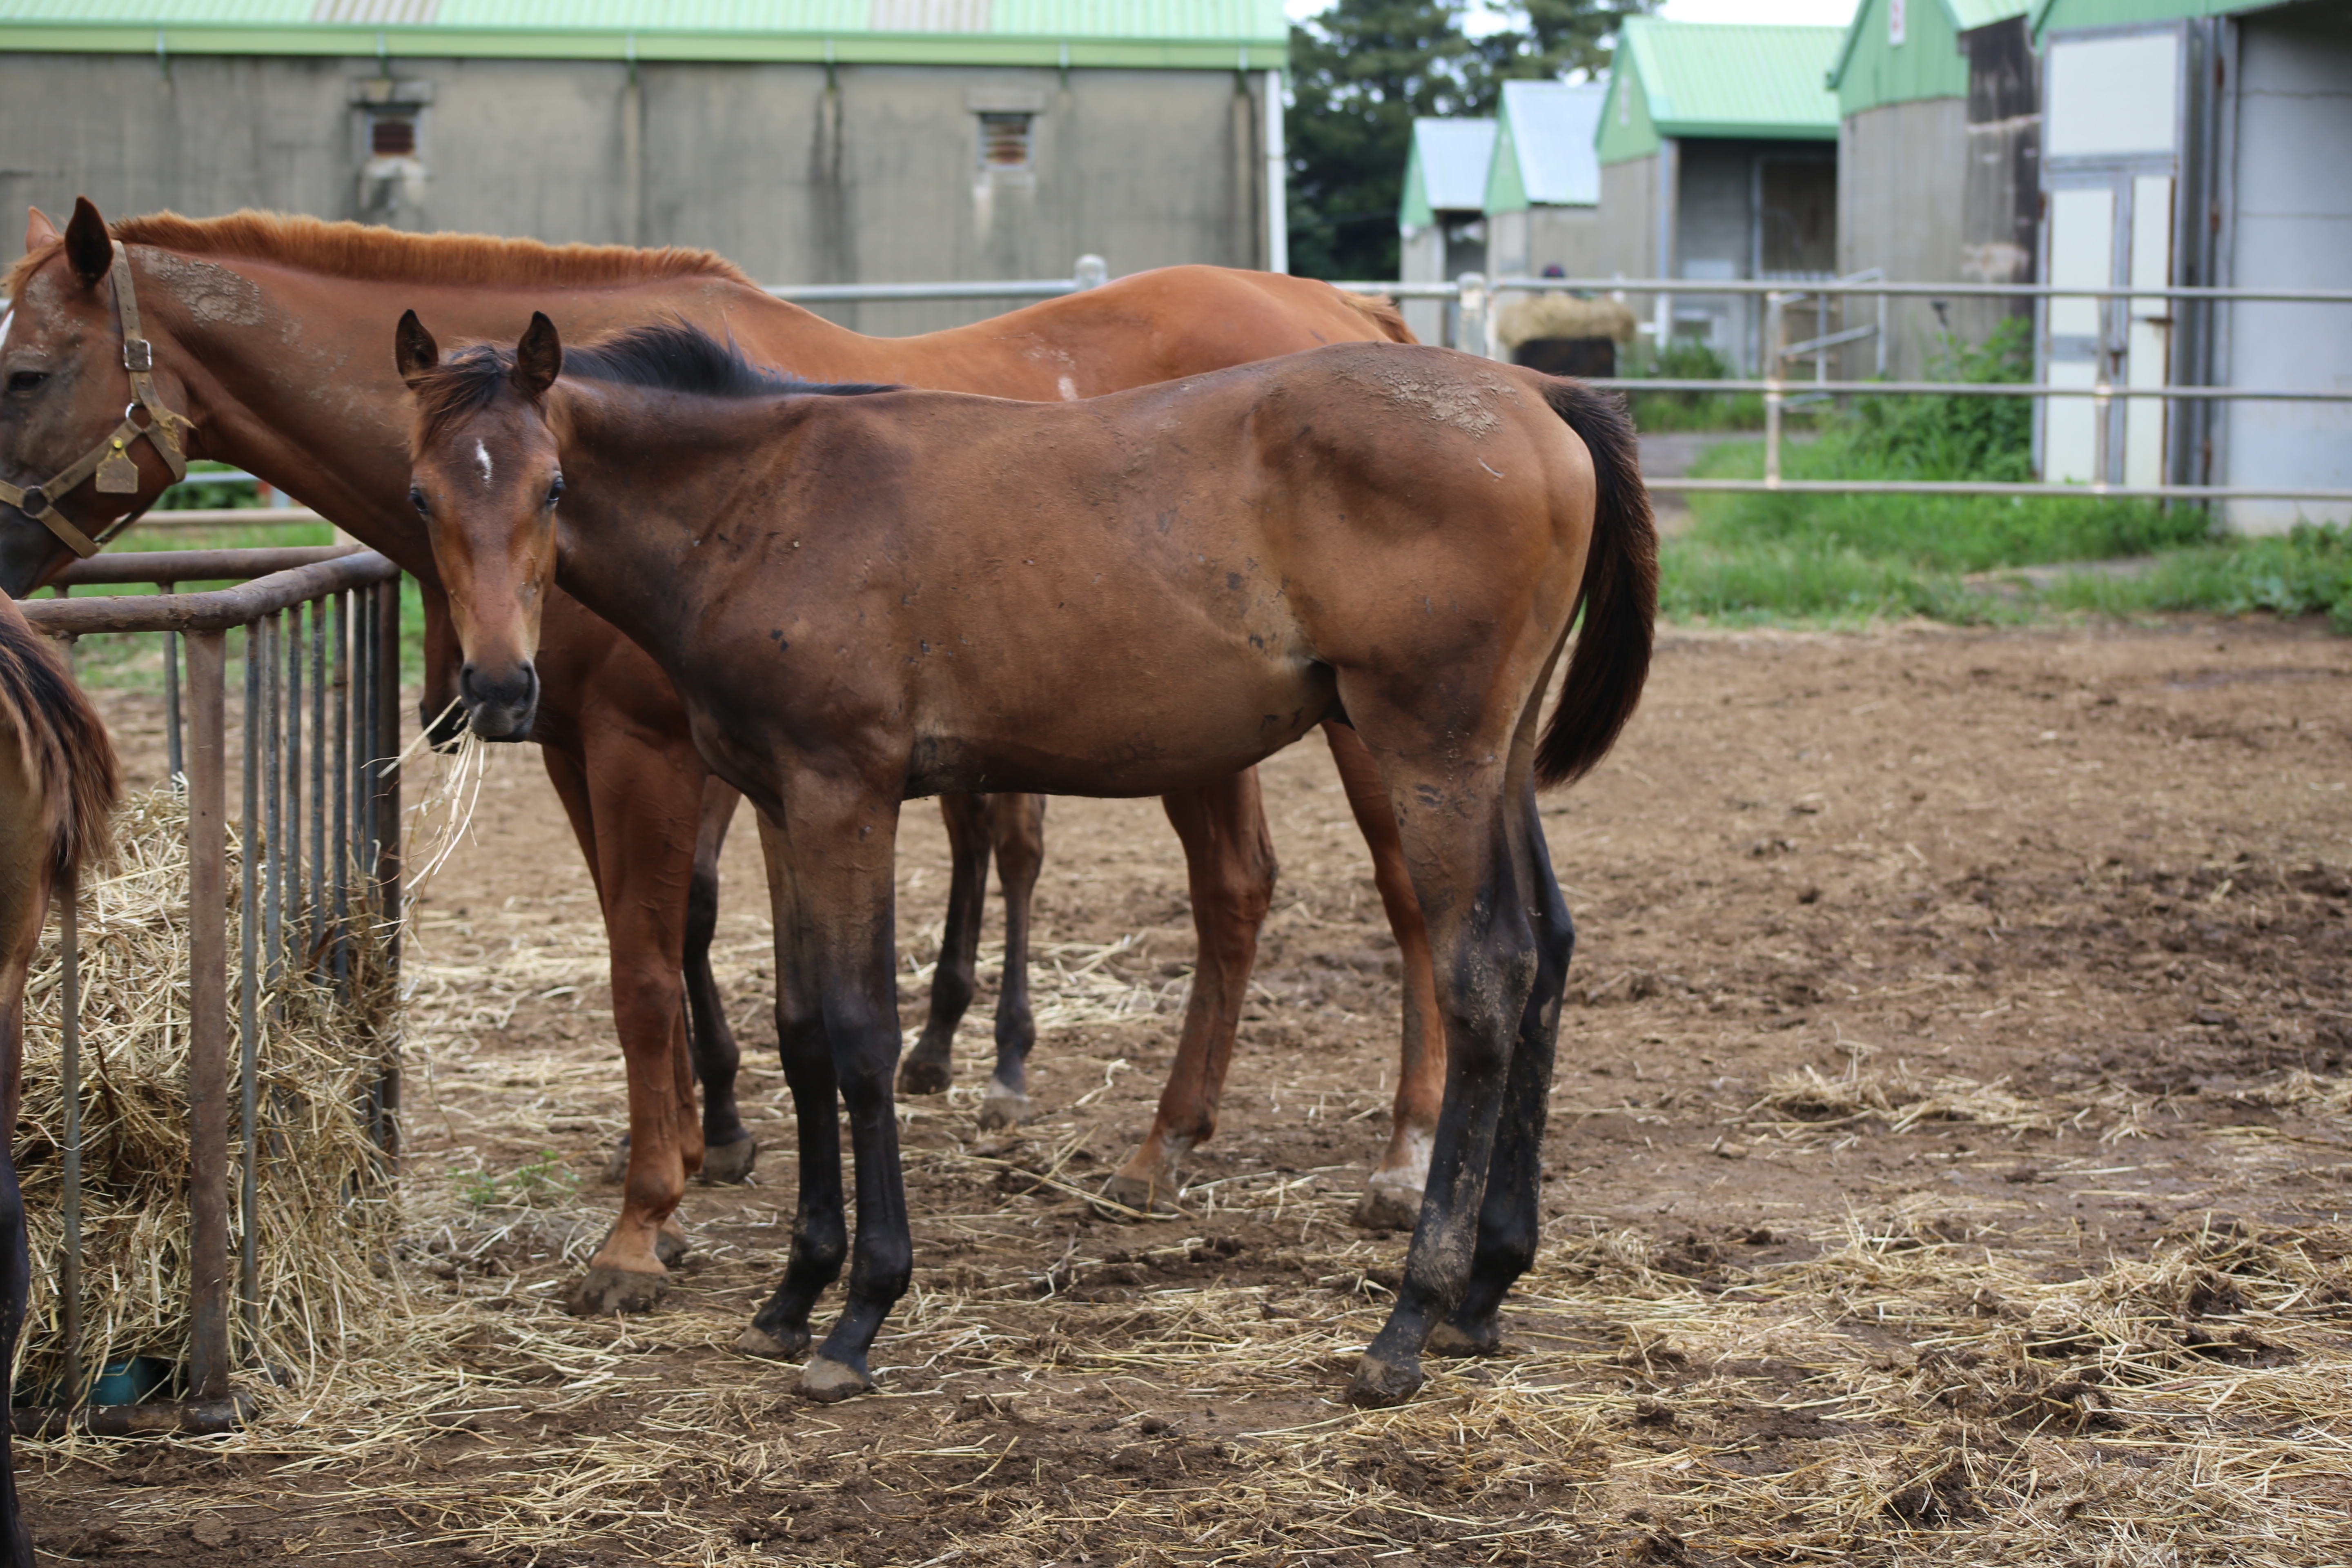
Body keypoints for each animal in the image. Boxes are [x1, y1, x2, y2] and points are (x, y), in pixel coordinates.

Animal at [0, 200, 1439, 1316]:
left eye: (21, 374)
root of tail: (1357, 319)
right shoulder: (589, 751)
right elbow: (654, 939)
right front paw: (706, 1138)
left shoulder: (655, 753)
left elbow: (649, 966)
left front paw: (650, 1218)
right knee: (1227, 889)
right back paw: (1157, 1139)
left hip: (1370, 734)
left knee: (1408, 904)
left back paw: (1402, 1158)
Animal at [400, 319, 1656, 1410]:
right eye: (420, 496)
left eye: (552, 487)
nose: (498, 690)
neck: (765, 502)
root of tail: (1537, 394)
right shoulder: (776, 800)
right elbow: (802, 1035)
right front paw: (792, 1294)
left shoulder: (844, 793)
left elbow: (859, 1036)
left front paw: (860, 1312)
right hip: (1496, 757)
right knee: (1546, 951)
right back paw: (1487, 1286)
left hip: (1427, 750)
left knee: (1483, 974)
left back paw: (1408, 1320)